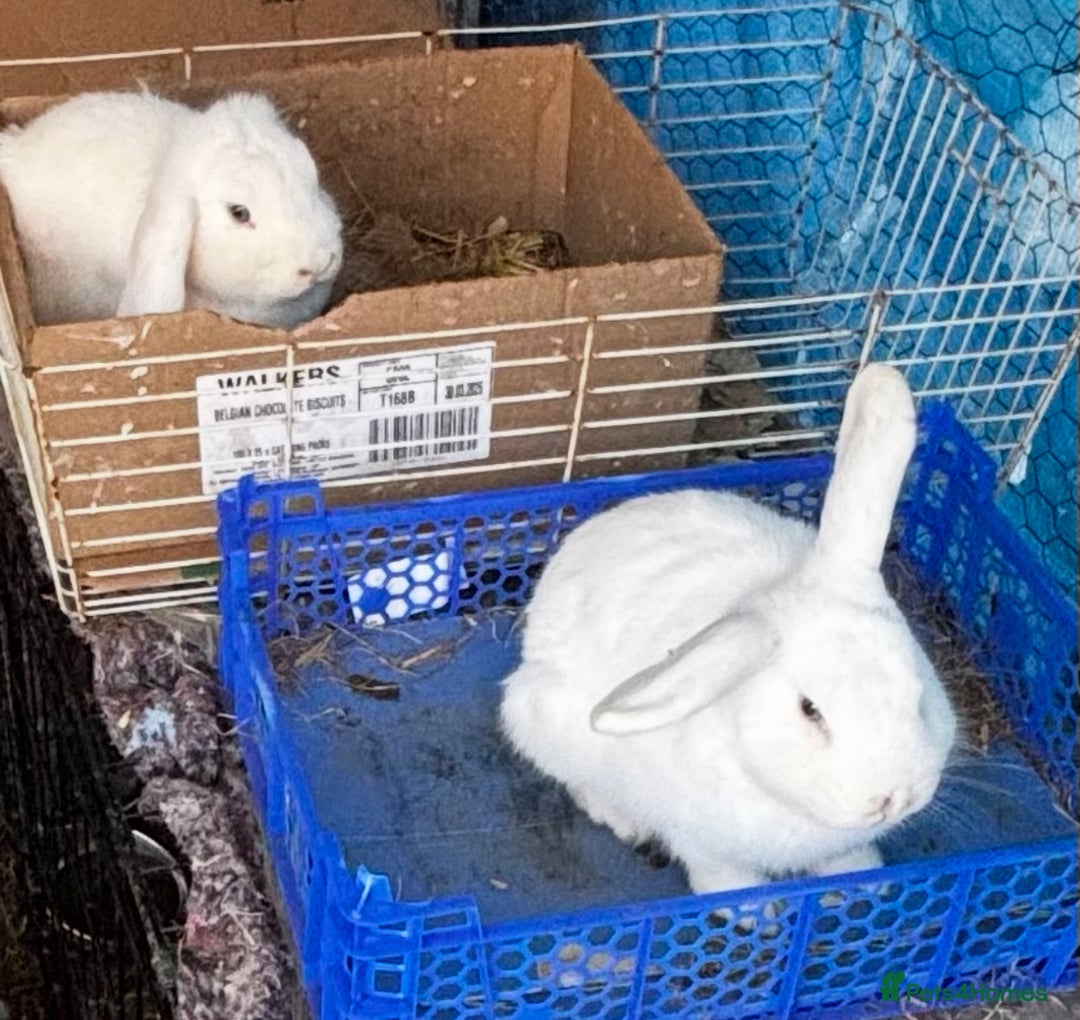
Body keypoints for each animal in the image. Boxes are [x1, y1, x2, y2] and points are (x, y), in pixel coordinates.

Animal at [499, 363, 957, 895]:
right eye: (810, 710)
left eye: (917, 695)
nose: (892, 797)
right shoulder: (700, 840)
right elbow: (723, 873)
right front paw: (752, 907)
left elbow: (845, 857)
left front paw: (868, 881)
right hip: (545, 725)